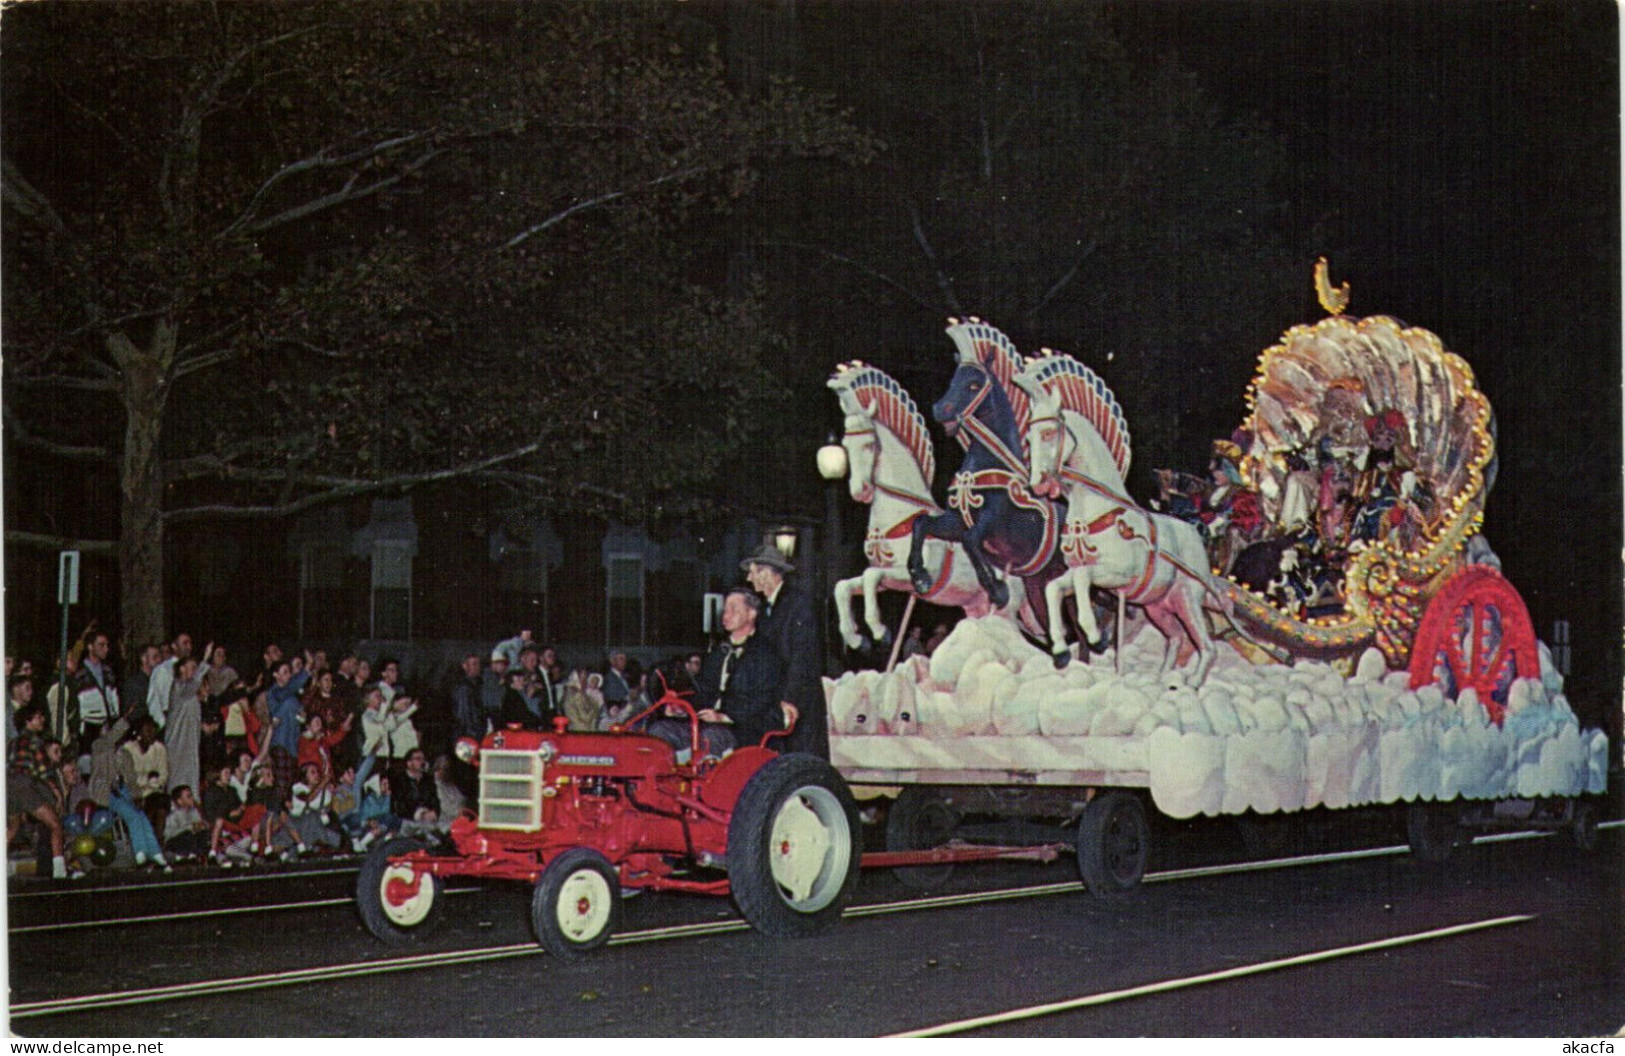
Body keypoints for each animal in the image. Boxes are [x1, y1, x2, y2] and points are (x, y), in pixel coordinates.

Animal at [832, 359, 1007, 649]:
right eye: (845, 445)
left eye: (869, 445)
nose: (860, 491)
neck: (900, 512)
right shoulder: (888, 578)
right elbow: (843, 586)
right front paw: (856, 639)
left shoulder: (899, 576)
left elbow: (869, 577)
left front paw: (879, 631)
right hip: (976, 606)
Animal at [910, 324, 1072, 614]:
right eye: (953, 380)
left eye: (974, 384)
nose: (940, 410)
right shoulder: (956, 521)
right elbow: (922, 523)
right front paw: (920, 577)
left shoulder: (991, 523)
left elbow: (971, 540)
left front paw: (997, 590)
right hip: (1039, 587)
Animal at [1014, 354, 1228, 682]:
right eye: (1027, 438)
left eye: (1049, 433)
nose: (1037, 483)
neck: (1099, 510)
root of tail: (1195, 534)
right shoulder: (1077, 571)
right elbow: (1055, 588)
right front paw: (1061, 649)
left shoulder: (1114, 574)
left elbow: (1082, 582)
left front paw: (1094, 635)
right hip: (1159, 606)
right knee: (1176, 638)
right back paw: (1160, 680)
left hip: (1187, 598)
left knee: (1207, 646)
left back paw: (1191, 683)